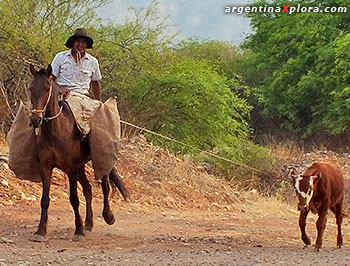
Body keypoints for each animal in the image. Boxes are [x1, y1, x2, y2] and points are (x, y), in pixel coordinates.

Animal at [28, 64, 127, 241]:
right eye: (31, 88)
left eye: (47, 88)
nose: (35, 119)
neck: (56, 131)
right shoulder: (46, 167)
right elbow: (44, 199)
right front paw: (40, 231)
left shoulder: (71, 168)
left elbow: (74, 199)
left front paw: (78, 231)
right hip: (80, 167)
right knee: (88, 189)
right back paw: (89, 224)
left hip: (96, 162)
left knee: (105, 186)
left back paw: (108, 216)